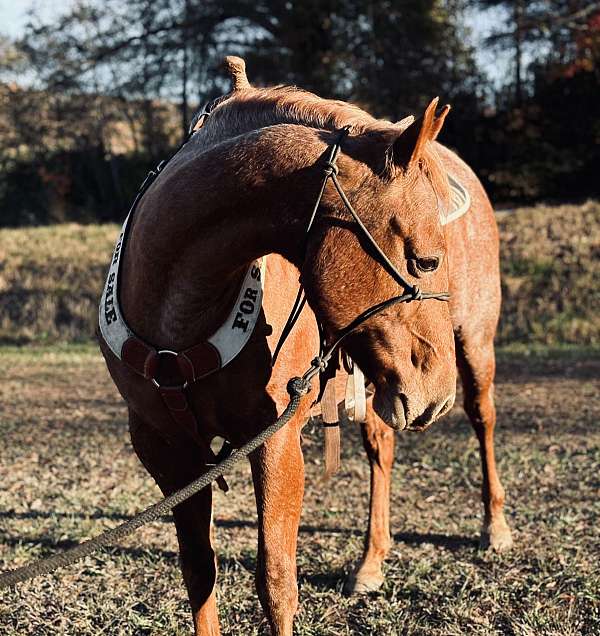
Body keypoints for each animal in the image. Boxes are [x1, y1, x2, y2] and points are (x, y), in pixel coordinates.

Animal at [98, 56, 510, 636]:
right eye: (425, 260)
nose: (435, 394)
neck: (179, 316)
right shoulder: (166, 448)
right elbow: (199, 570)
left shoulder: (275, 439)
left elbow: (276, 580)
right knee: (382, 448)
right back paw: (371, 562)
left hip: (471, 344)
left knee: (482, 418)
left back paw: (494, 525)